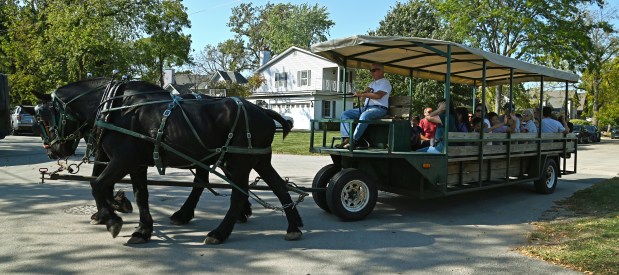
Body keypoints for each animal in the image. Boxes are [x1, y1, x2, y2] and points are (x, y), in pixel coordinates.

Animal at [35, 77, 302, 246]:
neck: (115, 108)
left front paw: (112, 220)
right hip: (258, 160)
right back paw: (293, 226)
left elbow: (97, 184)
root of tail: (263, 111)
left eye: (44, 119)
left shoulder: (122, 159)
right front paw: (142, 229)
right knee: (279, 187)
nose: (53, 151)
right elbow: (141, 195)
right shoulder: (136, 163)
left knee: (237, 195)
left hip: (238, 162)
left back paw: (219, 232)